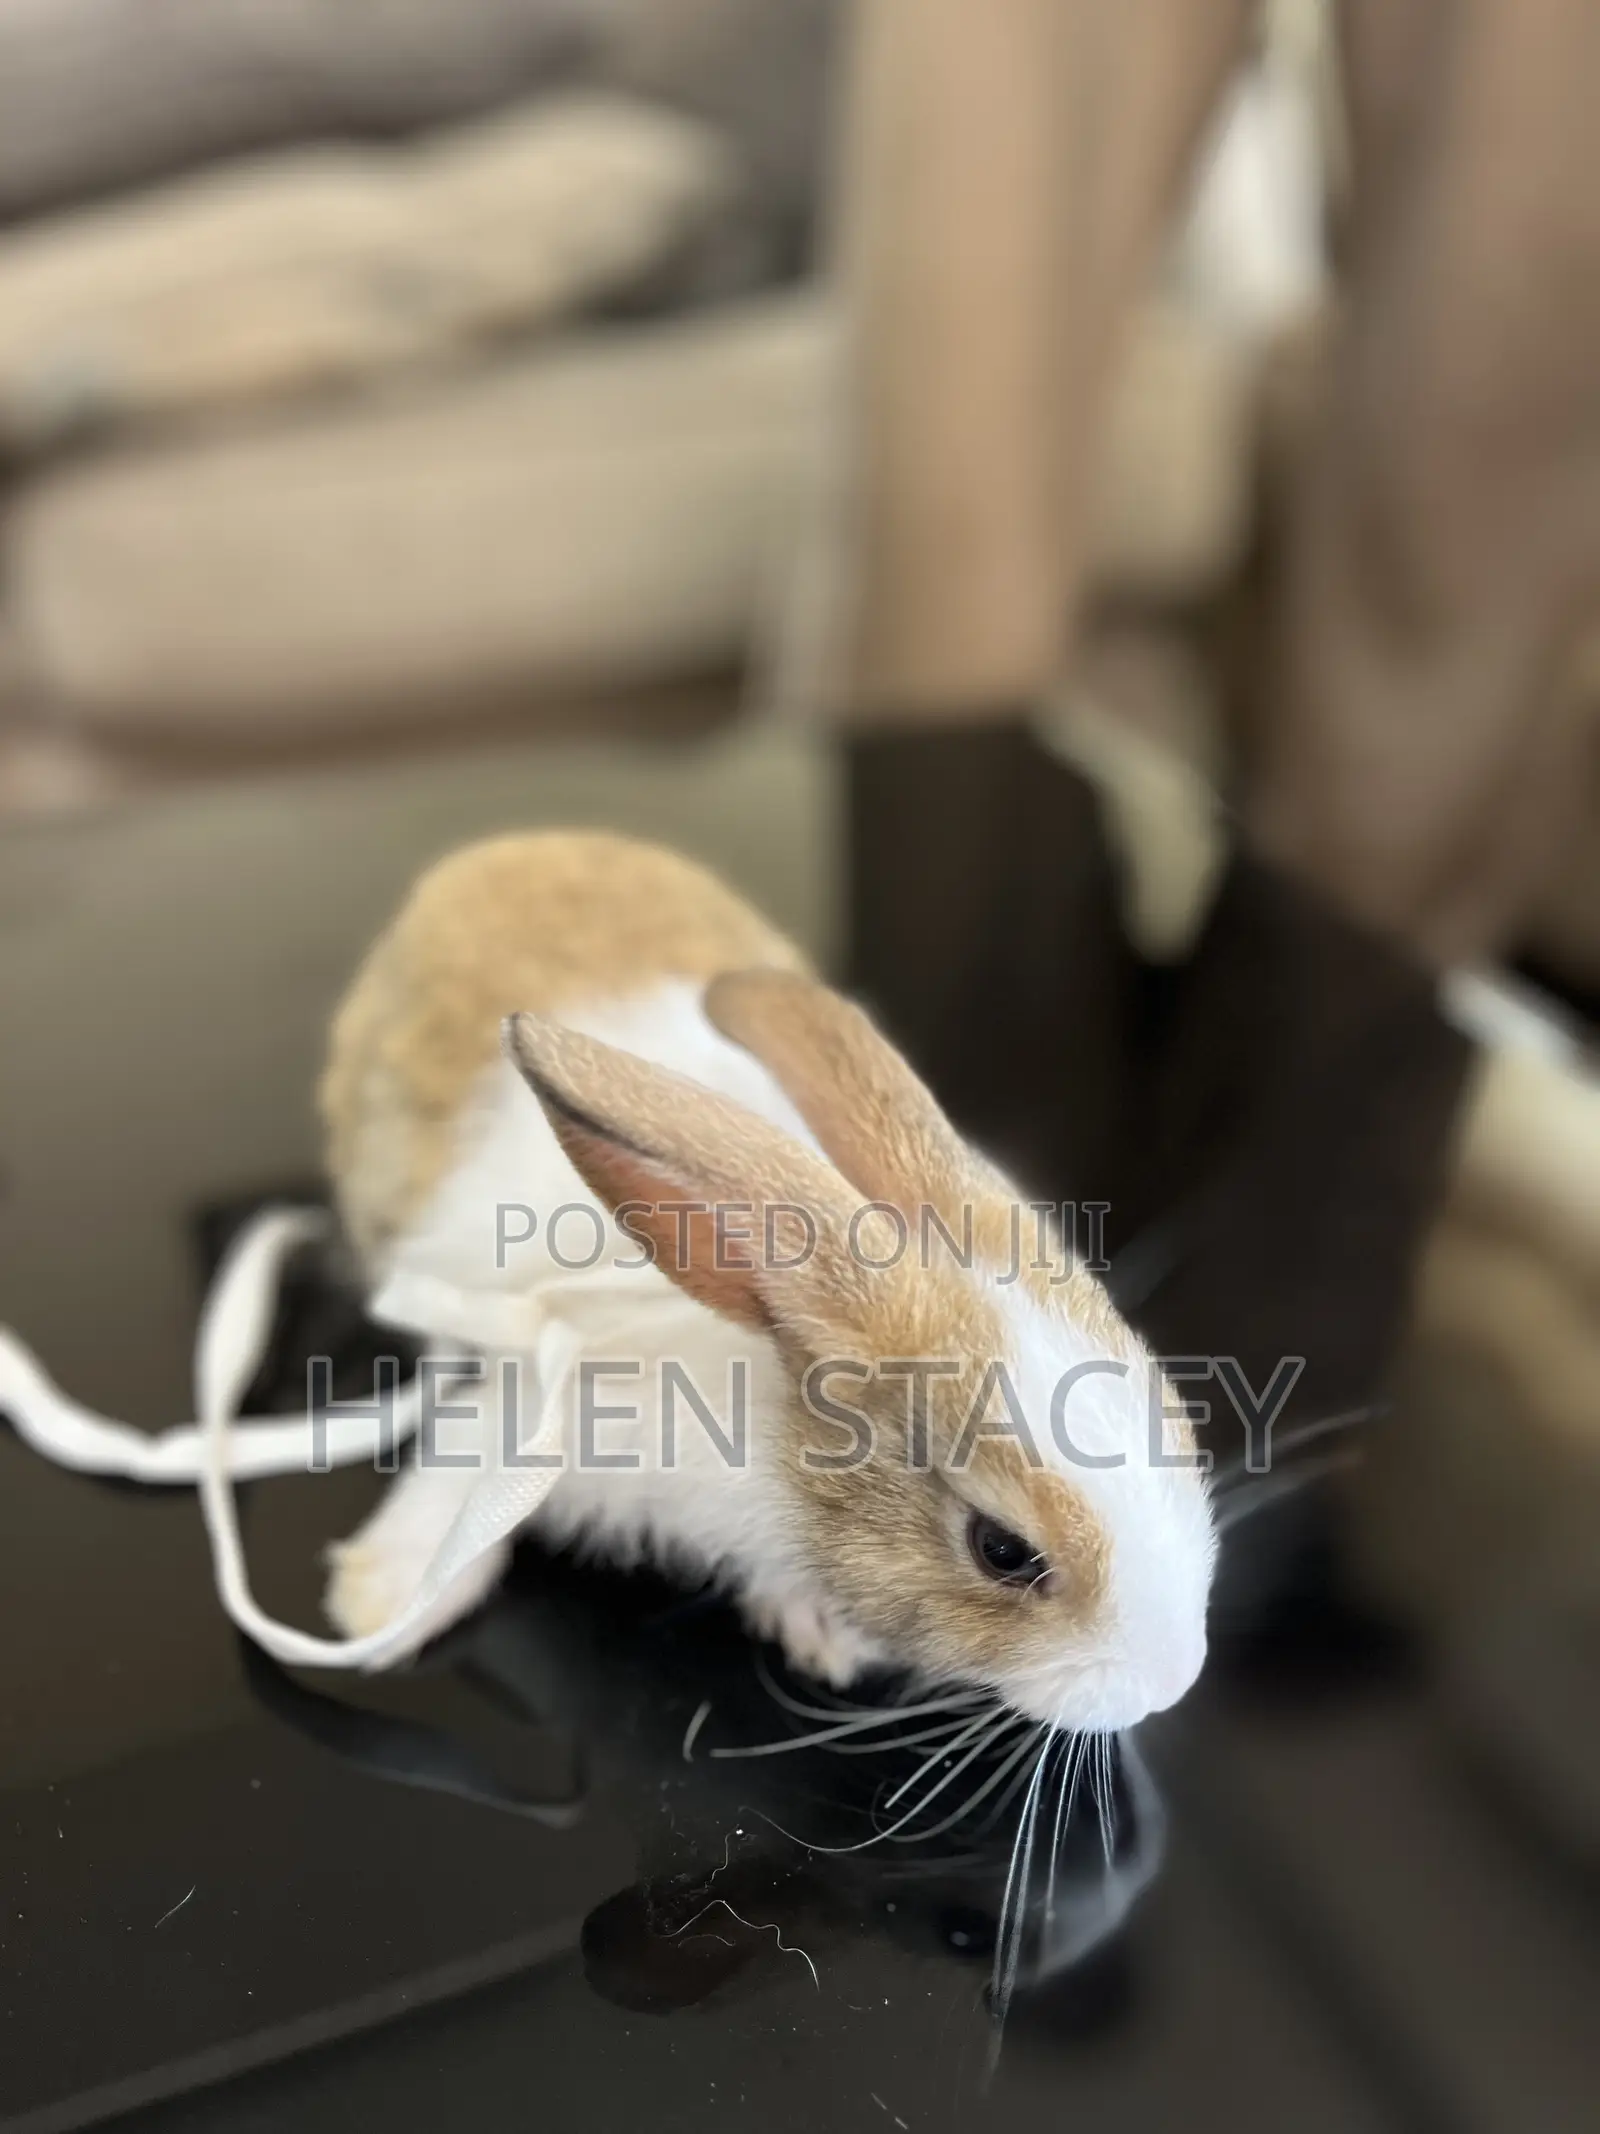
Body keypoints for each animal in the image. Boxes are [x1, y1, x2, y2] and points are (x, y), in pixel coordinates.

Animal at [318, 830, 1216, 1731]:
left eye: (1177, 1416)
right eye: (1002, 1551)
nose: (1171, 1683)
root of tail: (498, 847)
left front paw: (824, 1635)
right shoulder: (546, 1393)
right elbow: (460, 1463)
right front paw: (381, 1602)